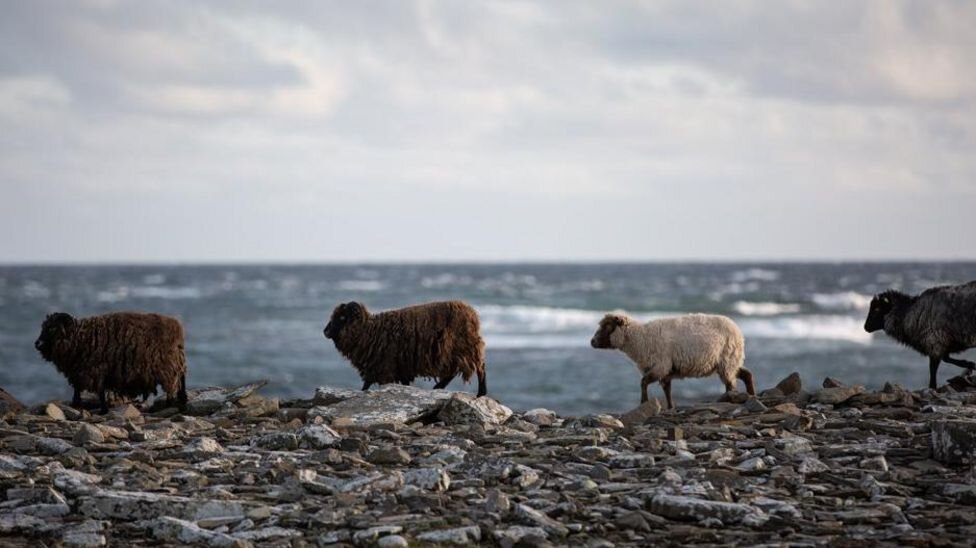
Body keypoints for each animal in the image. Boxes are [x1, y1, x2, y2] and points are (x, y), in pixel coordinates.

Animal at [35, 312, 188, 412]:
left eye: (52, 328)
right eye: (43, 327)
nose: (37, 344)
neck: (80, 337)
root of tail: (178, 328)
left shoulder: (95, 370)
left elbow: (99, 391)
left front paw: (102, 409)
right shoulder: (81, 371)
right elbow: (80, 389)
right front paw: (76, 404)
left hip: (168, 366)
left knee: (174, 383)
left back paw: (169, 404)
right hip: (175, 361)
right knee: (181, 378)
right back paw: (181, 400)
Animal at [324, 302, 488, 396]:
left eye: (342, 317)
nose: (325, 331)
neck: (370, 331)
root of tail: (472, 314)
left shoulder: (385, 366)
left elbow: (367, 384)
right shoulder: (397, 367)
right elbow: (372, 384)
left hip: (462, 348)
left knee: (479, 368)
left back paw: (481, 393)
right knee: (454, 371)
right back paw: (438, 387)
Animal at [588, 312, 756, 406]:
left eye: (608, 326)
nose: (592, 342)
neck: (641, 338)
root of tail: (738, 330)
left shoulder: (660, 366)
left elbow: (643, 382)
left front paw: (644, 402)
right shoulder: (665, 371)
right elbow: (667, 391)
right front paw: (670, 407)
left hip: (727, 360)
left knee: (731, 383)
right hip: (730, 361)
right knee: (746, 374)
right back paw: (751, 395)